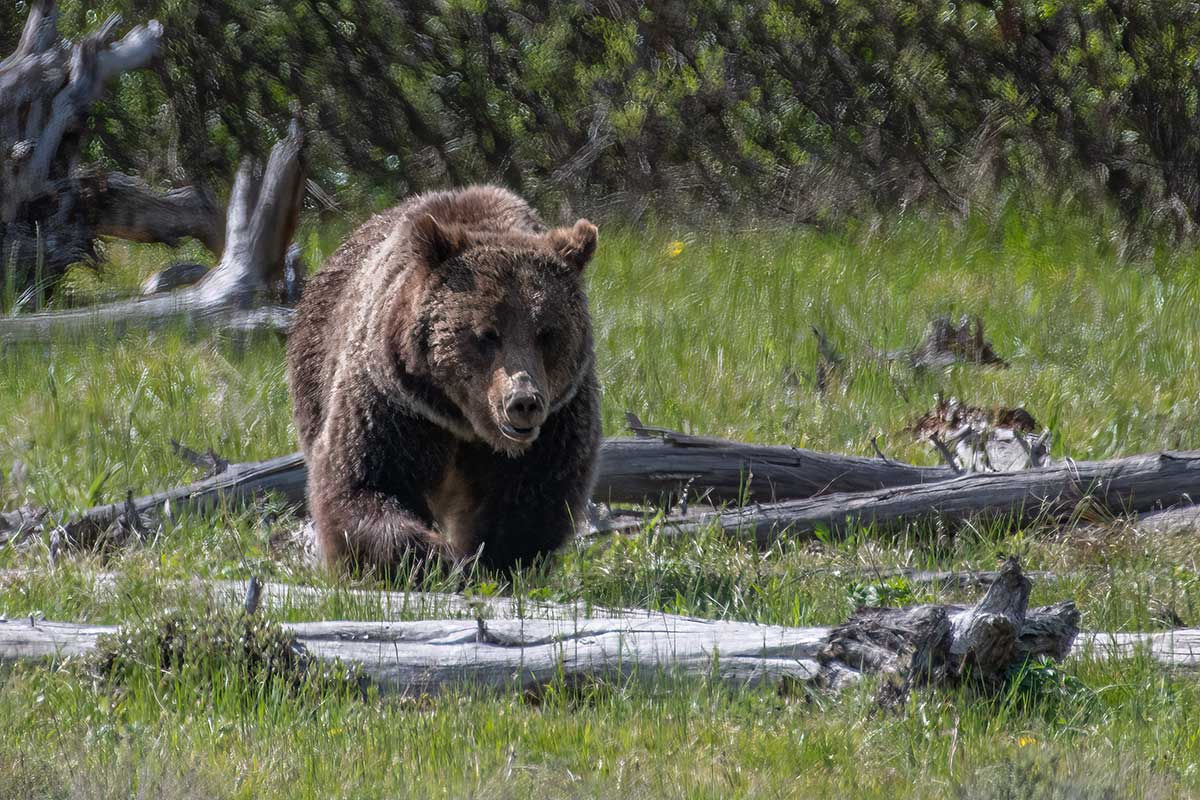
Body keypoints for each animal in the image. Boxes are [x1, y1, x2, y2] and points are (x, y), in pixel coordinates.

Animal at [286, 185, 604, 575]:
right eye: (487, 333)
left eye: (547, 333)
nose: (523, 401)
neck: (465, 422)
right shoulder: (395, 405)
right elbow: (365, 483)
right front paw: (435, 558)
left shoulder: (558, 419)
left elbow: (529, 501)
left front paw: (488, 561)